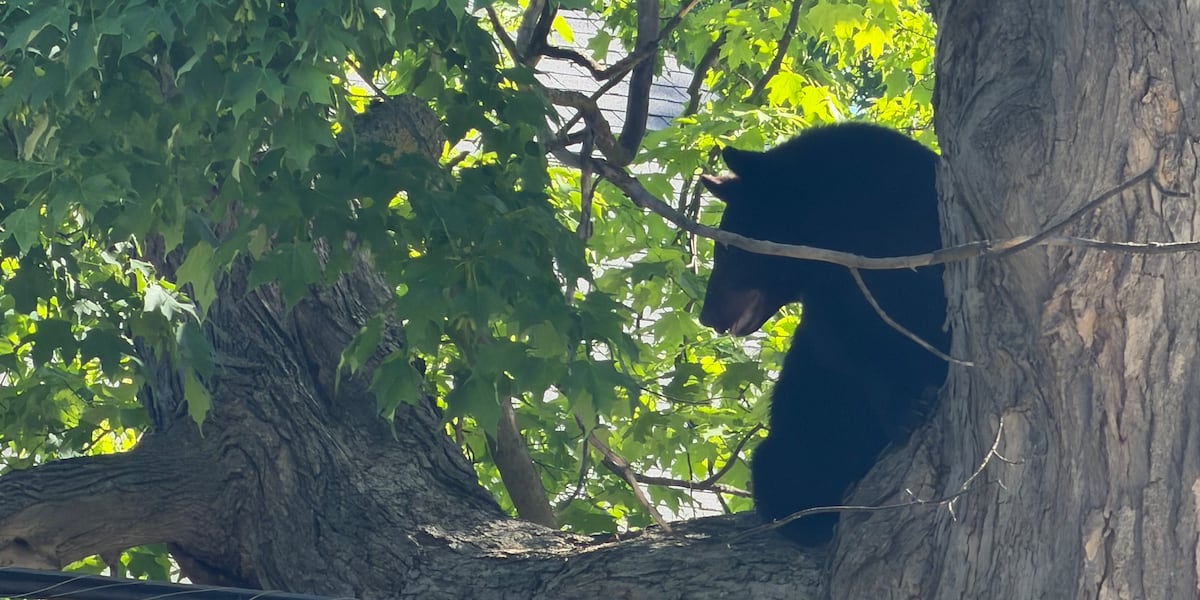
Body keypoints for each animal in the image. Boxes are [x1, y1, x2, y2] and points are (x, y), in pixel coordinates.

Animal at [698, 122, 949, 545]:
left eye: (729, 248)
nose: (705, 314)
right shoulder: (835, 299)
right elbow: (853, 353)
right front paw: (903, 408)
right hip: (800, 432)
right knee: (779, 467)